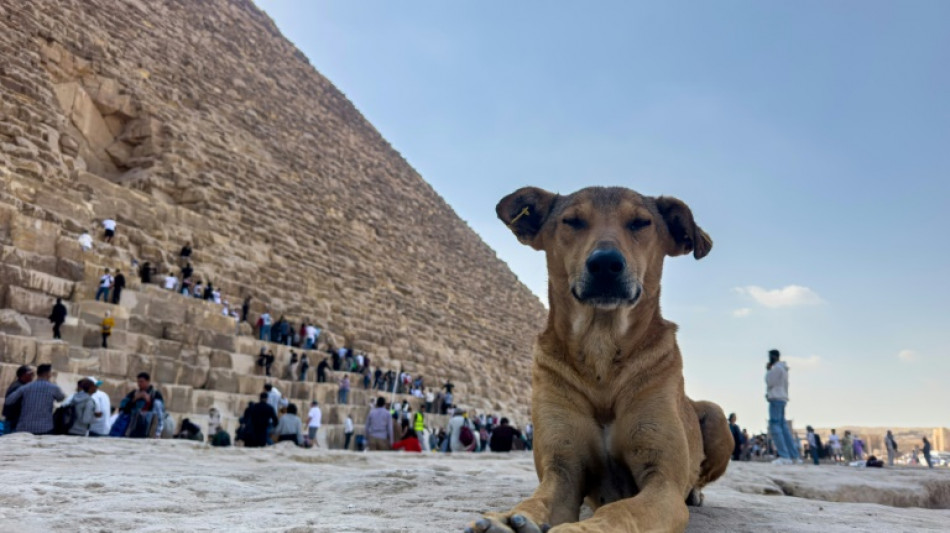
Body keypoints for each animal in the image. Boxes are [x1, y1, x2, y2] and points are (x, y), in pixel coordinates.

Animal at [468, 186, 736, 532]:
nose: (606, 263)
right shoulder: (563, 471)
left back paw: (696, 493)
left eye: (640, 222)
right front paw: (509, 520)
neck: (602, 353)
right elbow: (537, 501)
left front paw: (581, 529)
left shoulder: (662, 481)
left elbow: (622, 510)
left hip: (715, 416)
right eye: (572, 221)